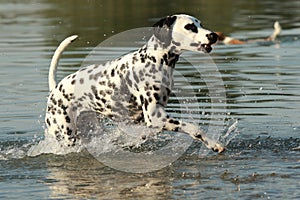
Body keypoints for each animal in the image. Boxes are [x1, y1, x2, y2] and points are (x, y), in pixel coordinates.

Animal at [46, 14, 225, 152]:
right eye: (190, 27)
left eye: (200, 24)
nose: (213, 35)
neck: (154, 60)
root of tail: (56, 88)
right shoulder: (155, 116)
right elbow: (194, 128)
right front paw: (213, 143)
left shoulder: (149, 120)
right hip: (67, 136)